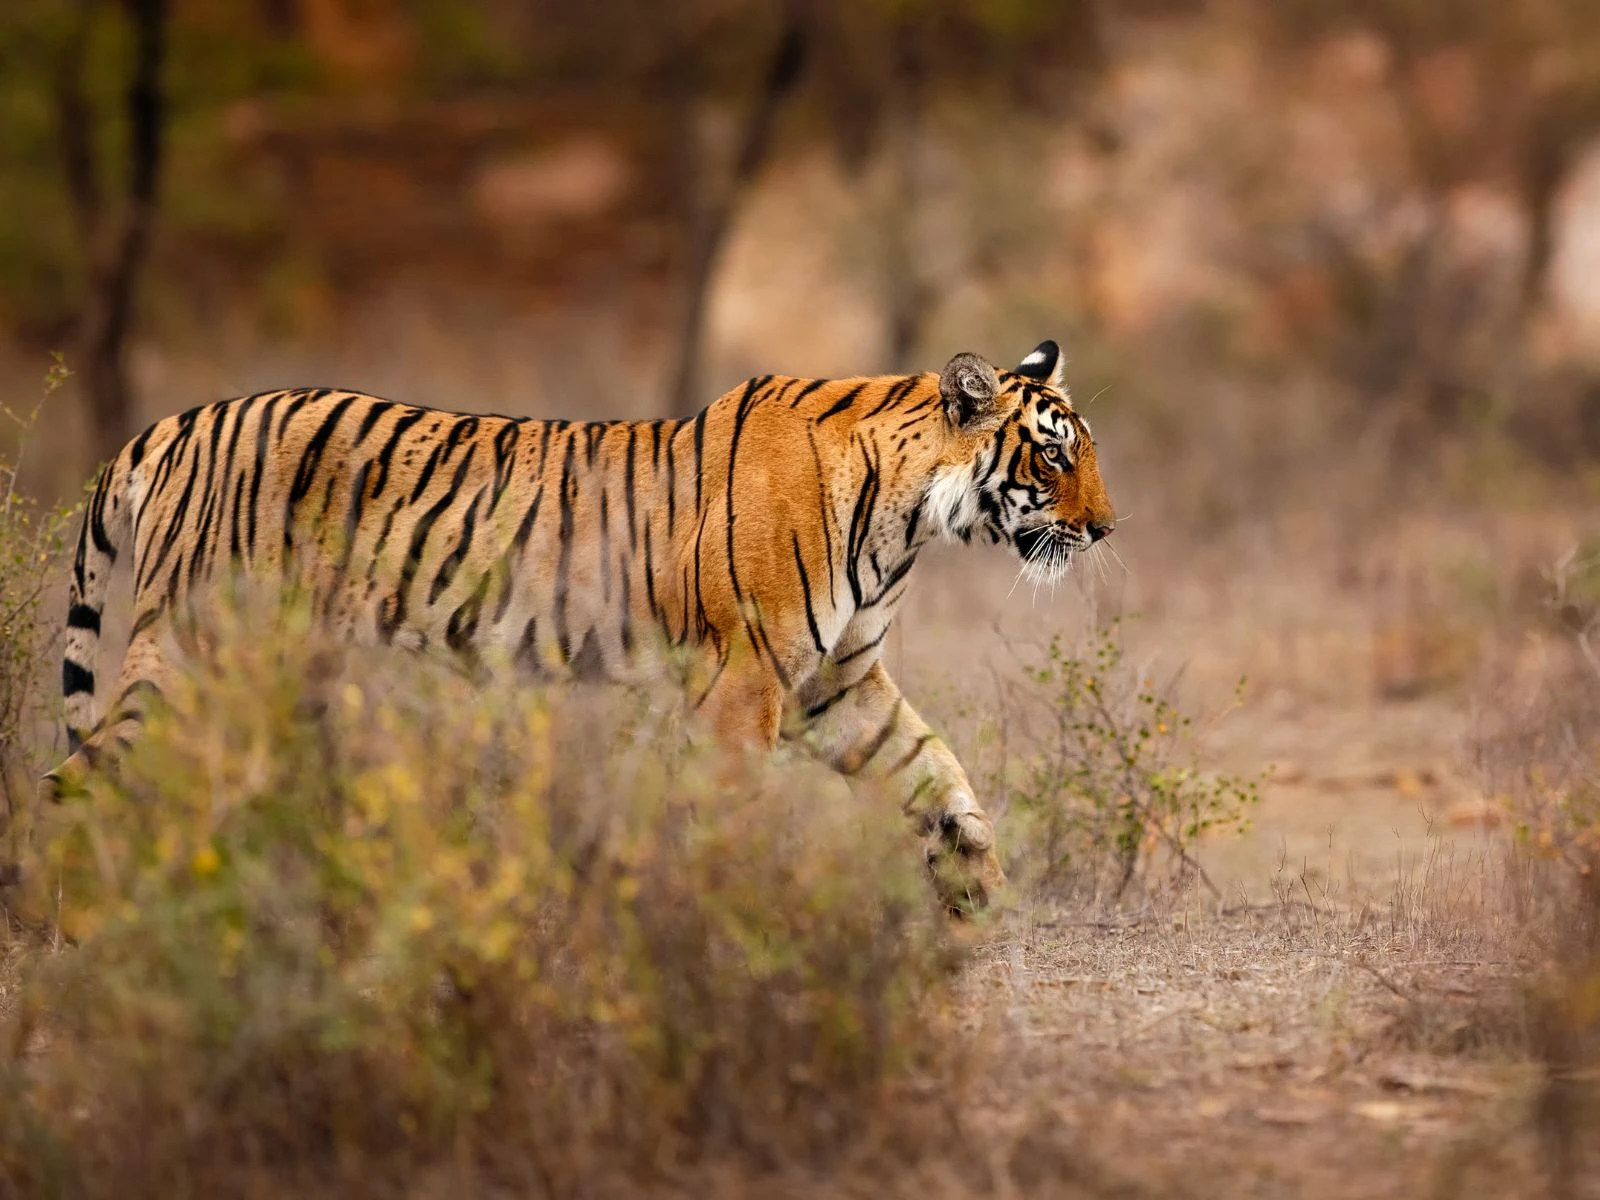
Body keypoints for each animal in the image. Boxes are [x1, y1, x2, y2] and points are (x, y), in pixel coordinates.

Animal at [37, 339, 1115, 911]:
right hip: (191, 653)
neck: (911, 522)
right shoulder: (746, 682)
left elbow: (939, 774)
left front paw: (977, 892)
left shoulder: (835, 686)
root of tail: (174, 424)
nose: (1108, 528)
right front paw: (734, 925)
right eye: (1056, 457)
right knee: (76, 781)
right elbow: (730, 814)